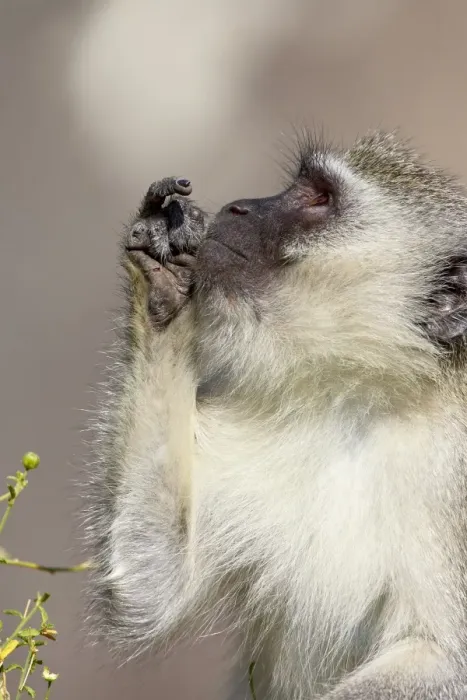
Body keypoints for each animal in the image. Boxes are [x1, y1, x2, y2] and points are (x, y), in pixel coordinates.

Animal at [83, 131, 467, 700]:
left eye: (320, 198)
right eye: (298, 184)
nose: (240, 206)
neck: (364, 393)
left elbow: (444, 659)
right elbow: (151, 586)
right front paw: (163, 278)